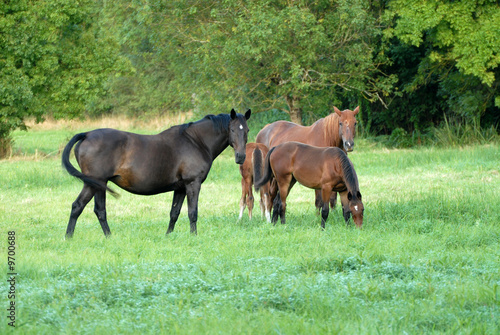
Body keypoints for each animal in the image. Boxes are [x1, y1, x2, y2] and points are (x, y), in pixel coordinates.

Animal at [62, 109, 250, 238]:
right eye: (232, 130)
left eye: (247, 130)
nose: (241, 157)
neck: (196, 141)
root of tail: (87, 134)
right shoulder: (192, 183)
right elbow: (192, 212)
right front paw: (194, 236)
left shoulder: (180, 188)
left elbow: (174, 213)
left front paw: (168, 236)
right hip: (94, 183)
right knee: (78, 206)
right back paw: (69, 238)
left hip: (99, 184)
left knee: (99, 211)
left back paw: (108, 237)